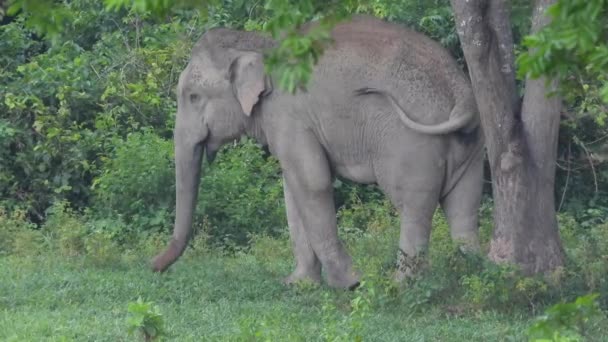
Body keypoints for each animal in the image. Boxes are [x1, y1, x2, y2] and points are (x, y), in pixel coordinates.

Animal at [153, 14, 484, 290]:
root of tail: (462, 94)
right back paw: (474, 274)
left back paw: (399, 285)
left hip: (411, 145)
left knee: (412, 207)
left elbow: (313, 182)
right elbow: (292, 189)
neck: (259, 42)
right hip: (469, 147)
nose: (152, 266)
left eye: (193, 97)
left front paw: (350, 284)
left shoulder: (288, 115)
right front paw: (298, 284)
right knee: (463, 208)